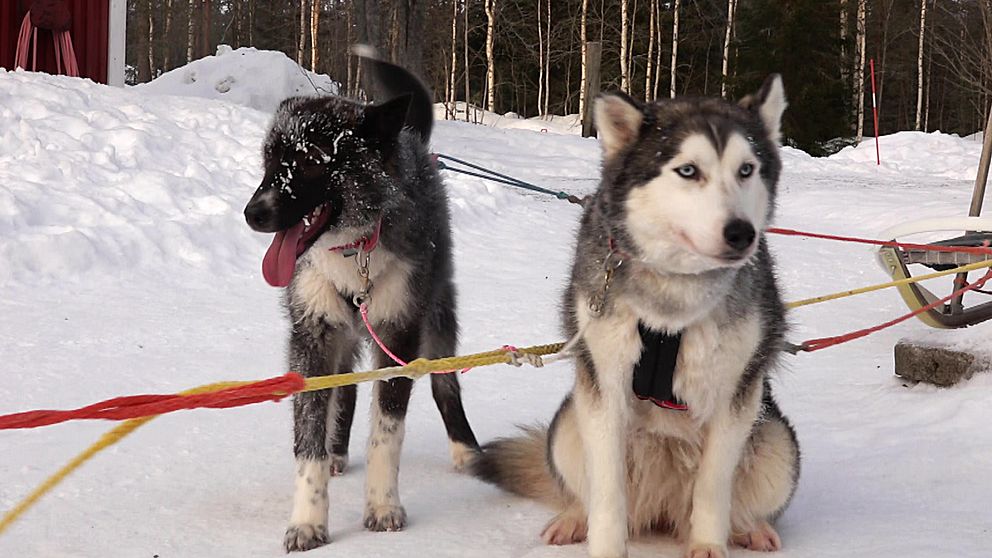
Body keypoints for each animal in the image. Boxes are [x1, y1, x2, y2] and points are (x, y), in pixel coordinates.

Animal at [246, 48, 482, 556]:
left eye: (311, 160)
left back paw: (465, 448)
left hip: (438, 317)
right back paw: (337, 451)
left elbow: (387, 433)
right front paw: (308, 519)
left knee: (445, 386)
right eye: (270, 158)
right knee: (347, 388)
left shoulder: (399, 331)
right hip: (344, 333)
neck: (353, 252)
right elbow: (308, 437)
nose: (253, 213)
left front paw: (382, 506)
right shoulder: (311, 336)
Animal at [468, 77, 804, 558]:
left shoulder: (734, 394)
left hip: (778, 443)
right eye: (688, 171)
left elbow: (713, 487)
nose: (742, 233)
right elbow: (607, 491)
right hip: (568, 423)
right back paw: (574, 518)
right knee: (584, 491)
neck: (671, 307)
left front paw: (708, 545)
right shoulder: (605, 386)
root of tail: (661, 511)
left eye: (746, 169)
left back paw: (748, 528)